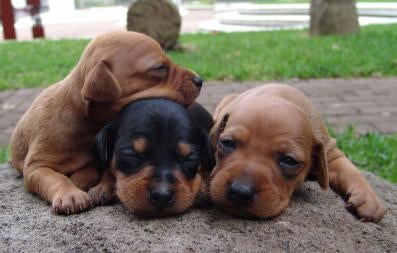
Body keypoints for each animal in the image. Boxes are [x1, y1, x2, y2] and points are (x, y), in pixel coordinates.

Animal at [10, 30, 203, 214]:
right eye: (159, 68)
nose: (199, 80)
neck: (85, 123)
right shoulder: (36, 166)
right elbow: (55, 178)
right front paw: (70, 194)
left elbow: (103, 170)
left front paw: (98, 185)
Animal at [209, 84, 386, 222]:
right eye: (227, 143)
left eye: (289, 160)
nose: (240, 192)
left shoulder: (330, 152)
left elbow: (351, 171)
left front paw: (368, 198)